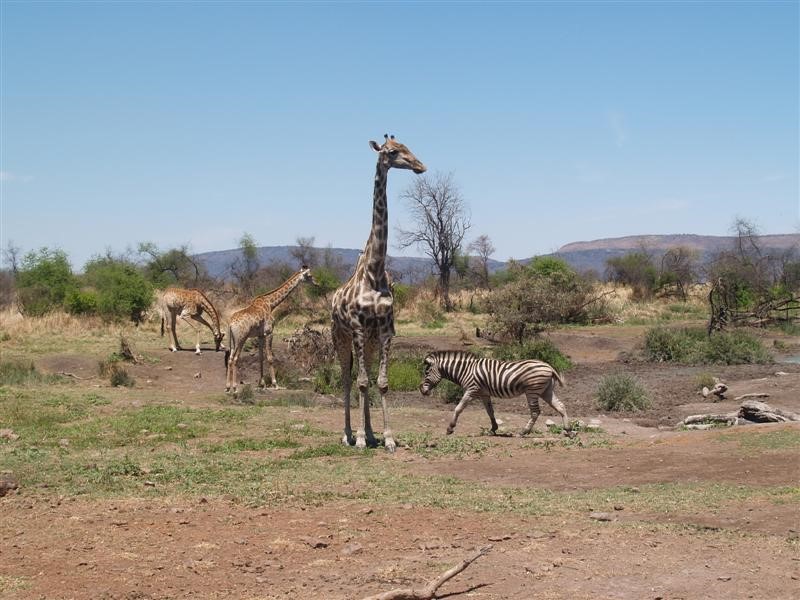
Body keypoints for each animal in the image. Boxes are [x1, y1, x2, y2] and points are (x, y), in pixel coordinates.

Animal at [330, 136, 424, 452]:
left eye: (408, 147)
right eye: (392, 152)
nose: (420, 166)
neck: (374, 269)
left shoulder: (384, 330)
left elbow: (380, 382)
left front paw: (388, 438)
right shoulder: (358, 328)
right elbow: (360, 382)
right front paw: (358, 438)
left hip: (368, 342)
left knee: (366, 376)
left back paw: (371, 434)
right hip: (340, 336)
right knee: (347, 379)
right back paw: (348, 434)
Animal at [418, 352, 568, 436]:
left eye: (426, 373)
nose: (422, 391)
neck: (465, 370)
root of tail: (549, 366)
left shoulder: (472, 390)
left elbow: (458, 408)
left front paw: (450, 428)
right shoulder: (484, 393)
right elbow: (490, 411)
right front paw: (493, 428)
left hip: (532, 391)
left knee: (536, 412)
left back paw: (523, 432)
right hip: (546, 390)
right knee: (561, 406)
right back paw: (568, 430)